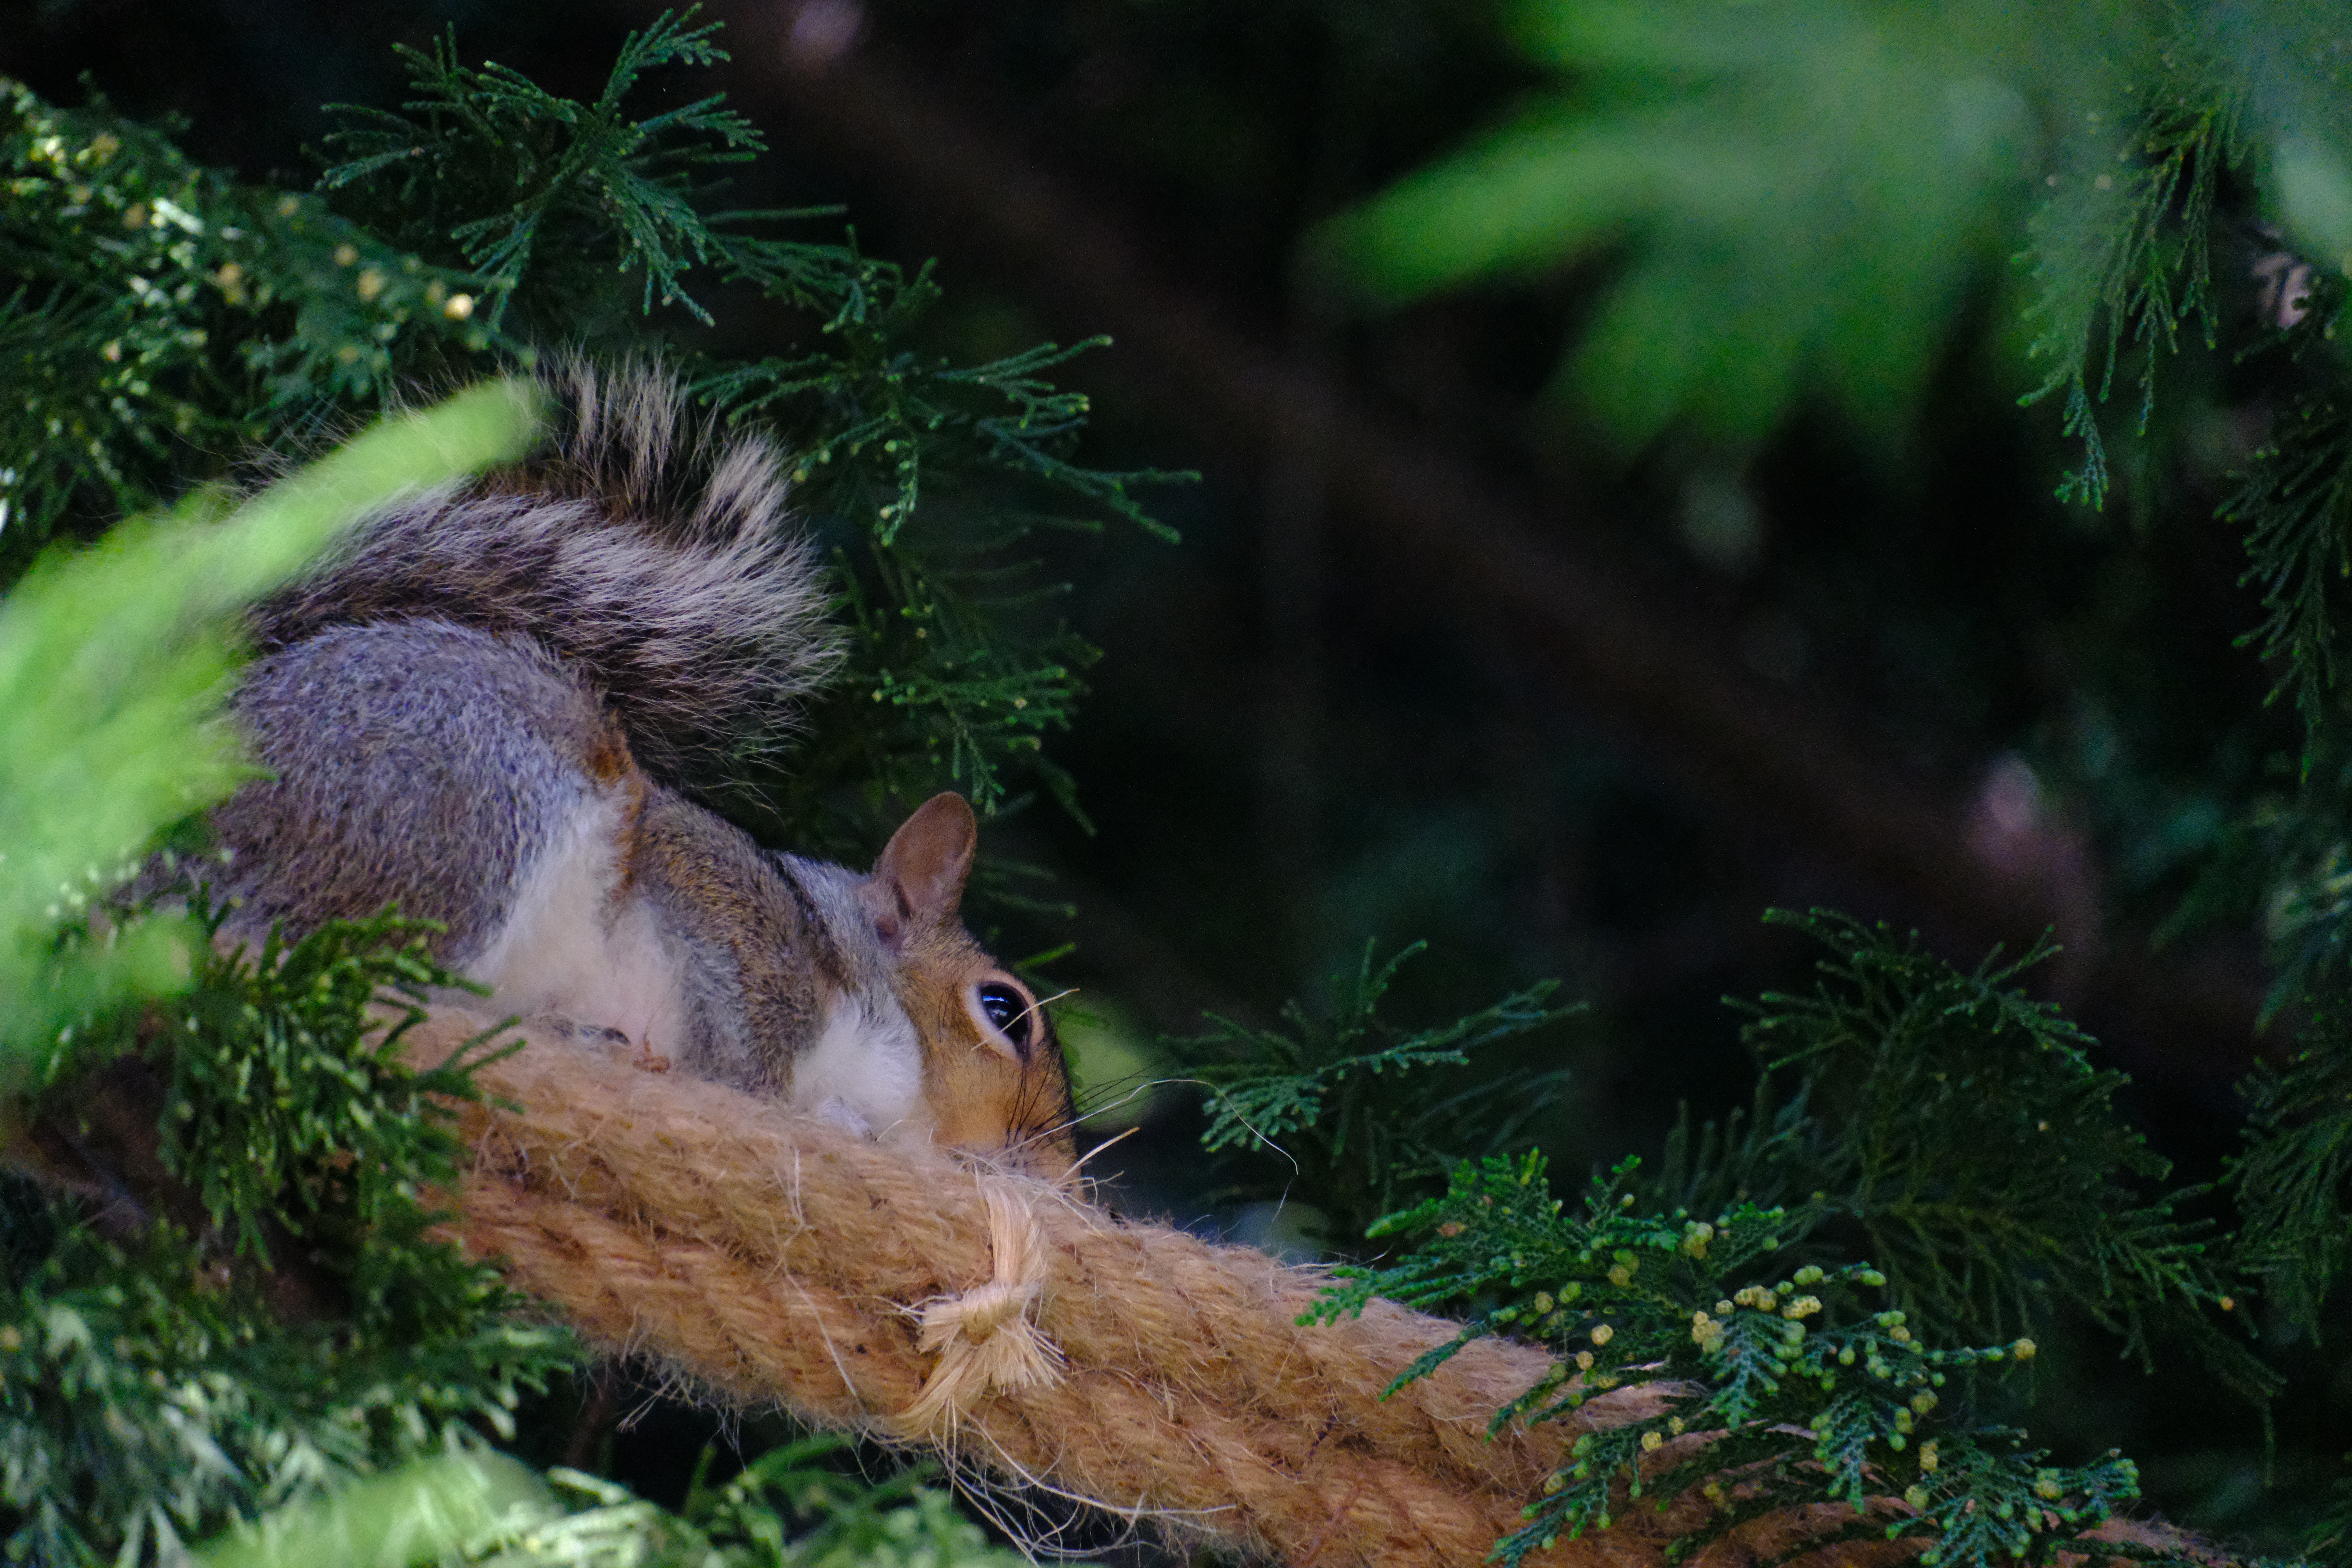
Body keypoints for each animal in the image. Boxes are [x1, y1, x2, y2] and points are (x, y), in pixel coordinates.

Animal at [198, 363, 1078, 1179]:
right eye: (1004, 1010)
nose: (1064, 1177)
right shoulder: (724, 919)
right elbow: (737, 1049)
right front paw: (810, 1108)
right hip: (476, 809)